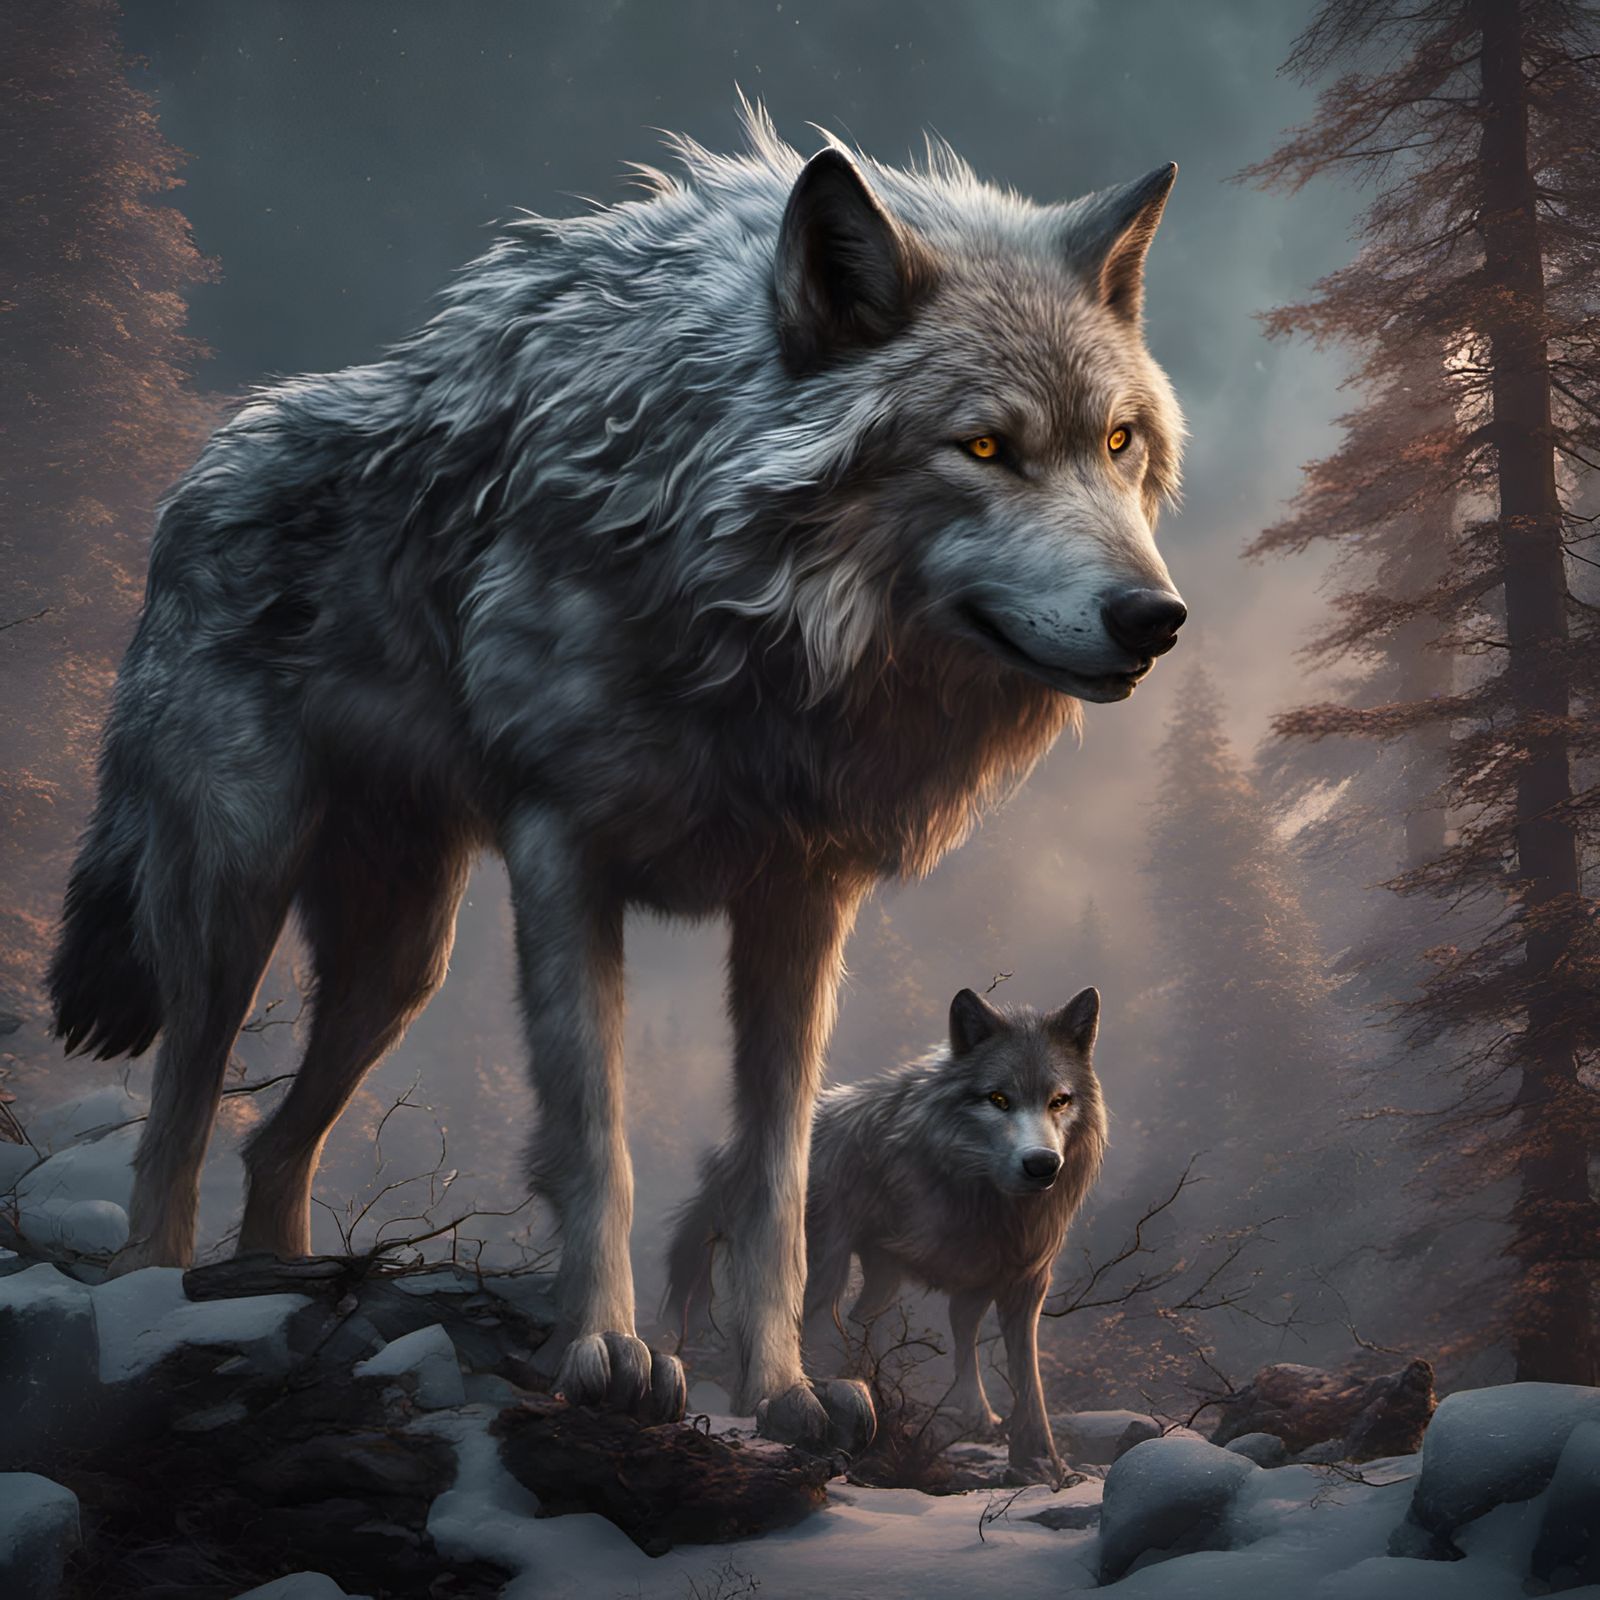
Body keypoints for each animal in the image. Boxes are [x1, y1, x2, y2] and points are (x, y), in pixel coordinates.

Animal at [667, 984, 1107, 1478]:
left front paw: (1038, 1458)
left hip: (879, 1281)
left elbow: (1018, 1374)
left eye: (1059, 1100)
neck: (980, 1191)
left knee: (857, 1320)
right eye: (998, 1099)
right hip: (826, 1269)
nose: (1042, 1165)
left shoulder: (1014, 1281)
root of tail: (734, 1151)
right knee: (787, 1324)